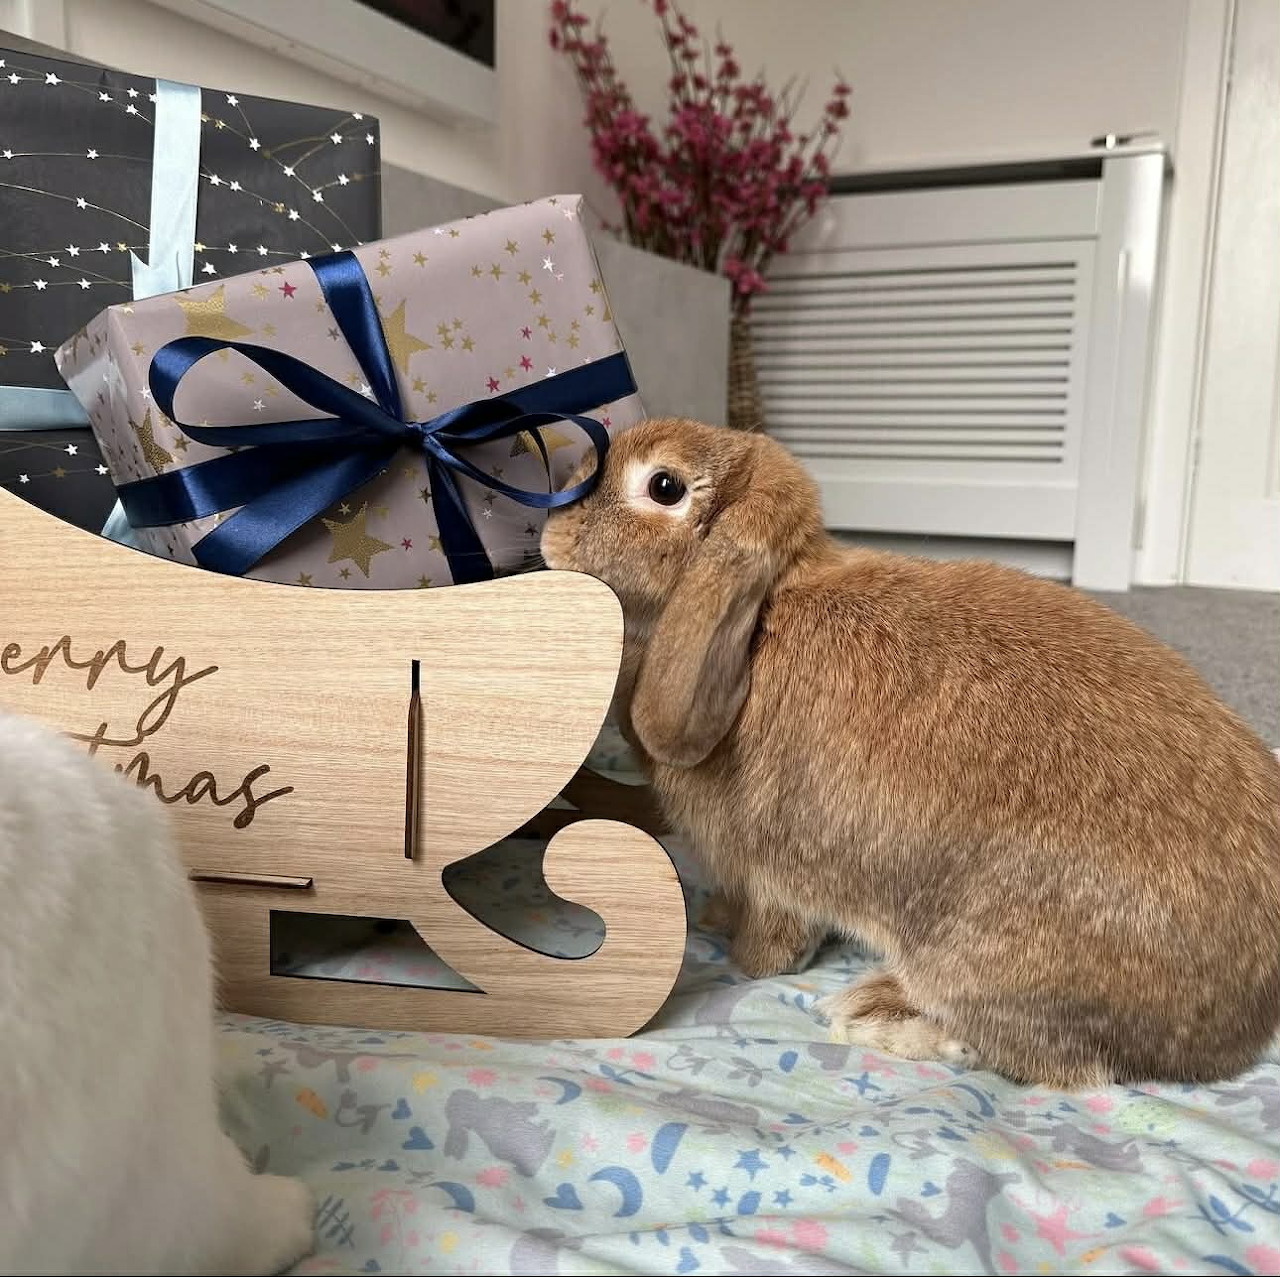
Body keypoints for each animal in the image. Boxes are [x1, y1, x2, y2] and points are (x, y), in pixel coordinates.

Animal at [540, 417, 1280, 1088]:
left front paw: (744, 957)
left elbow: (775, 945)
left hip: (981, 960)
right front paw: (718, 917)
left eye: (662, 486)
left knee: (1055, 1065)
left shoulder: (772, 871)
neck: (762, 616)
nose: (553, 520)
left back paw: (877, 1015)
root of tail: (1237, 1032)